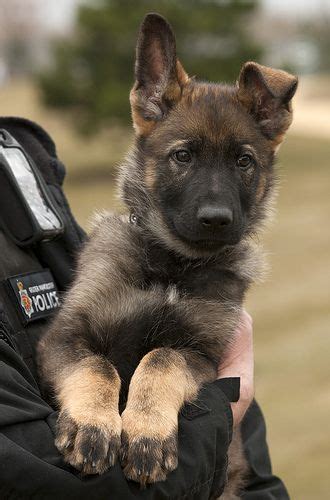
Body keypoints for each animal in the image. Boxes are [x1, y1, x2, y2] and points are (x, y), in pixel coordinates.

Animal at [37, 11, 298, 496]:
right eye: (183, 156)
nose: (216, 220)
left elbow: (161, 359)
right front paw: (94, 425)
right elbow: (99, 367)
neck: (173, 265)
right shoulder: (63, 337)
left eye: (244, 161)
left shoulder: (203, 355)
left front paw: (146, 434)